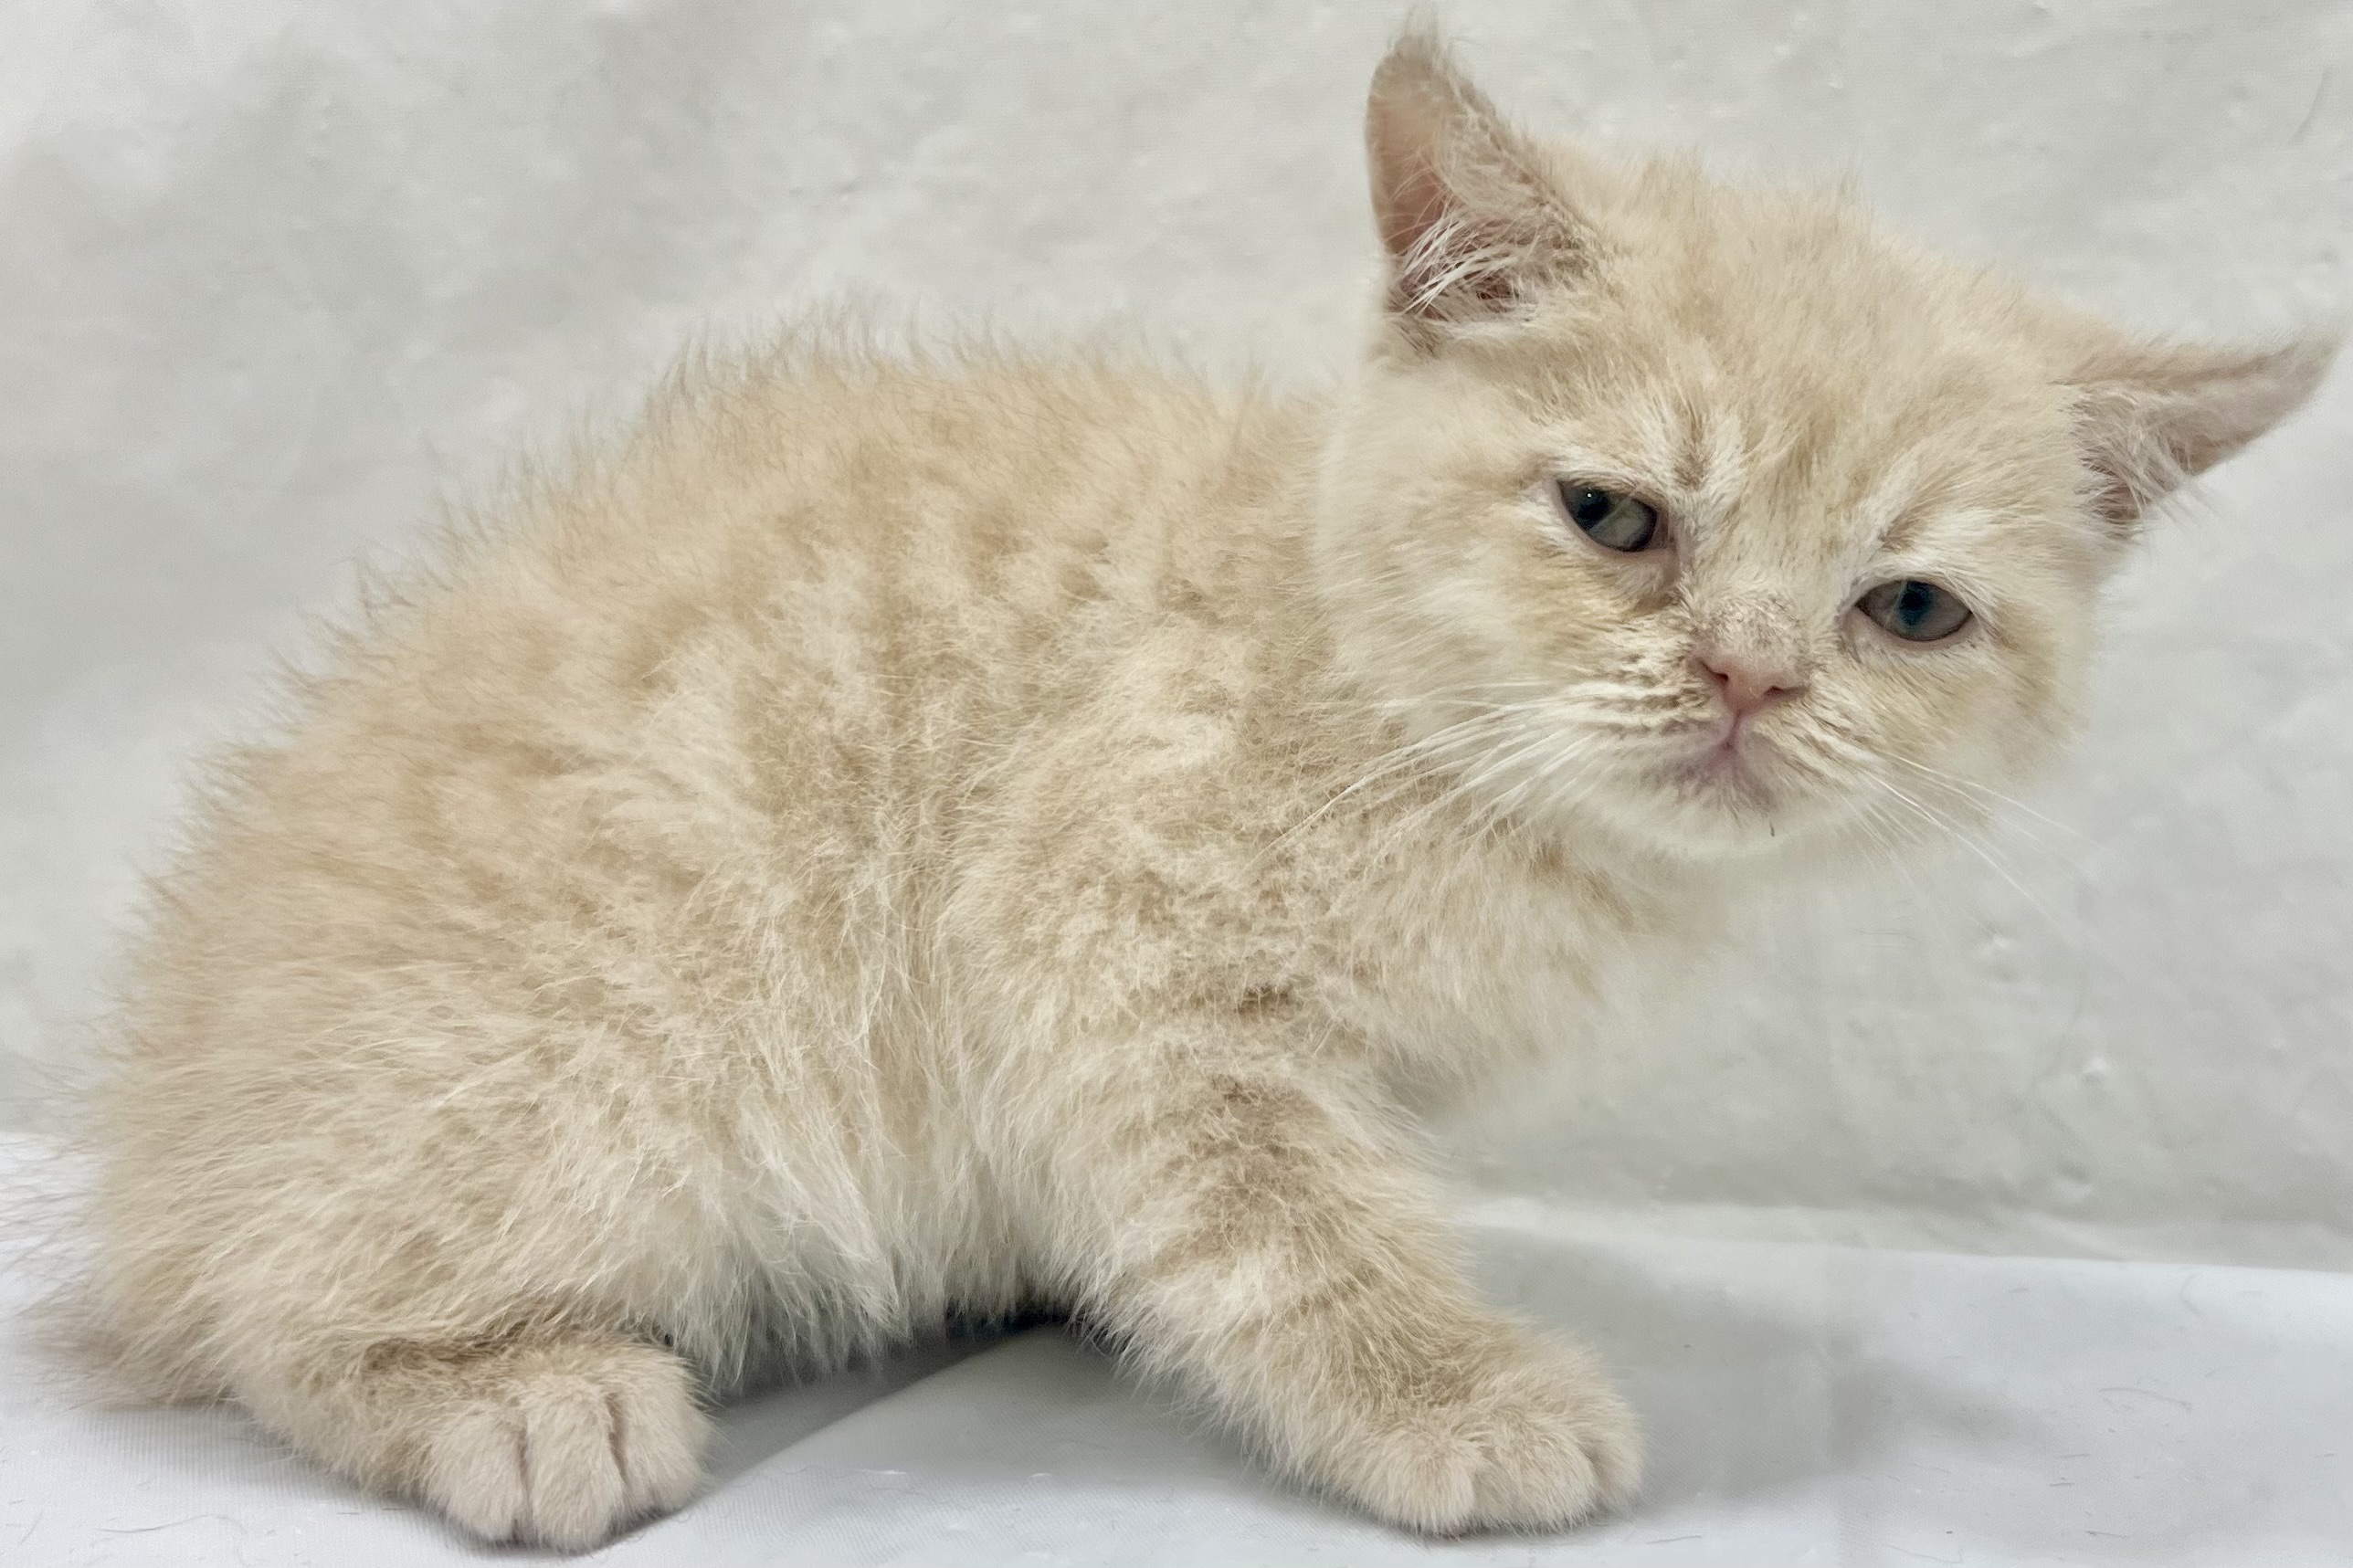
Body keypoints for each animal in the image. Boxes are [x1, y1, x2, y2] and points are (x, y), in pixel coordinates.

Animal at [73, 26, 2330, 1551]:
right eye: (1615, 516)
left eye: (1909, 609)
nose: (1752, 675)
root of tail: (156, 1151)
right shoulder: (1108, 941)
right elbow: (1285, 1222)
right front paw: (1447, 1393)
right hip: (592, 1053)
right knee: (274, 1305)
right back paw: (516, 1396)